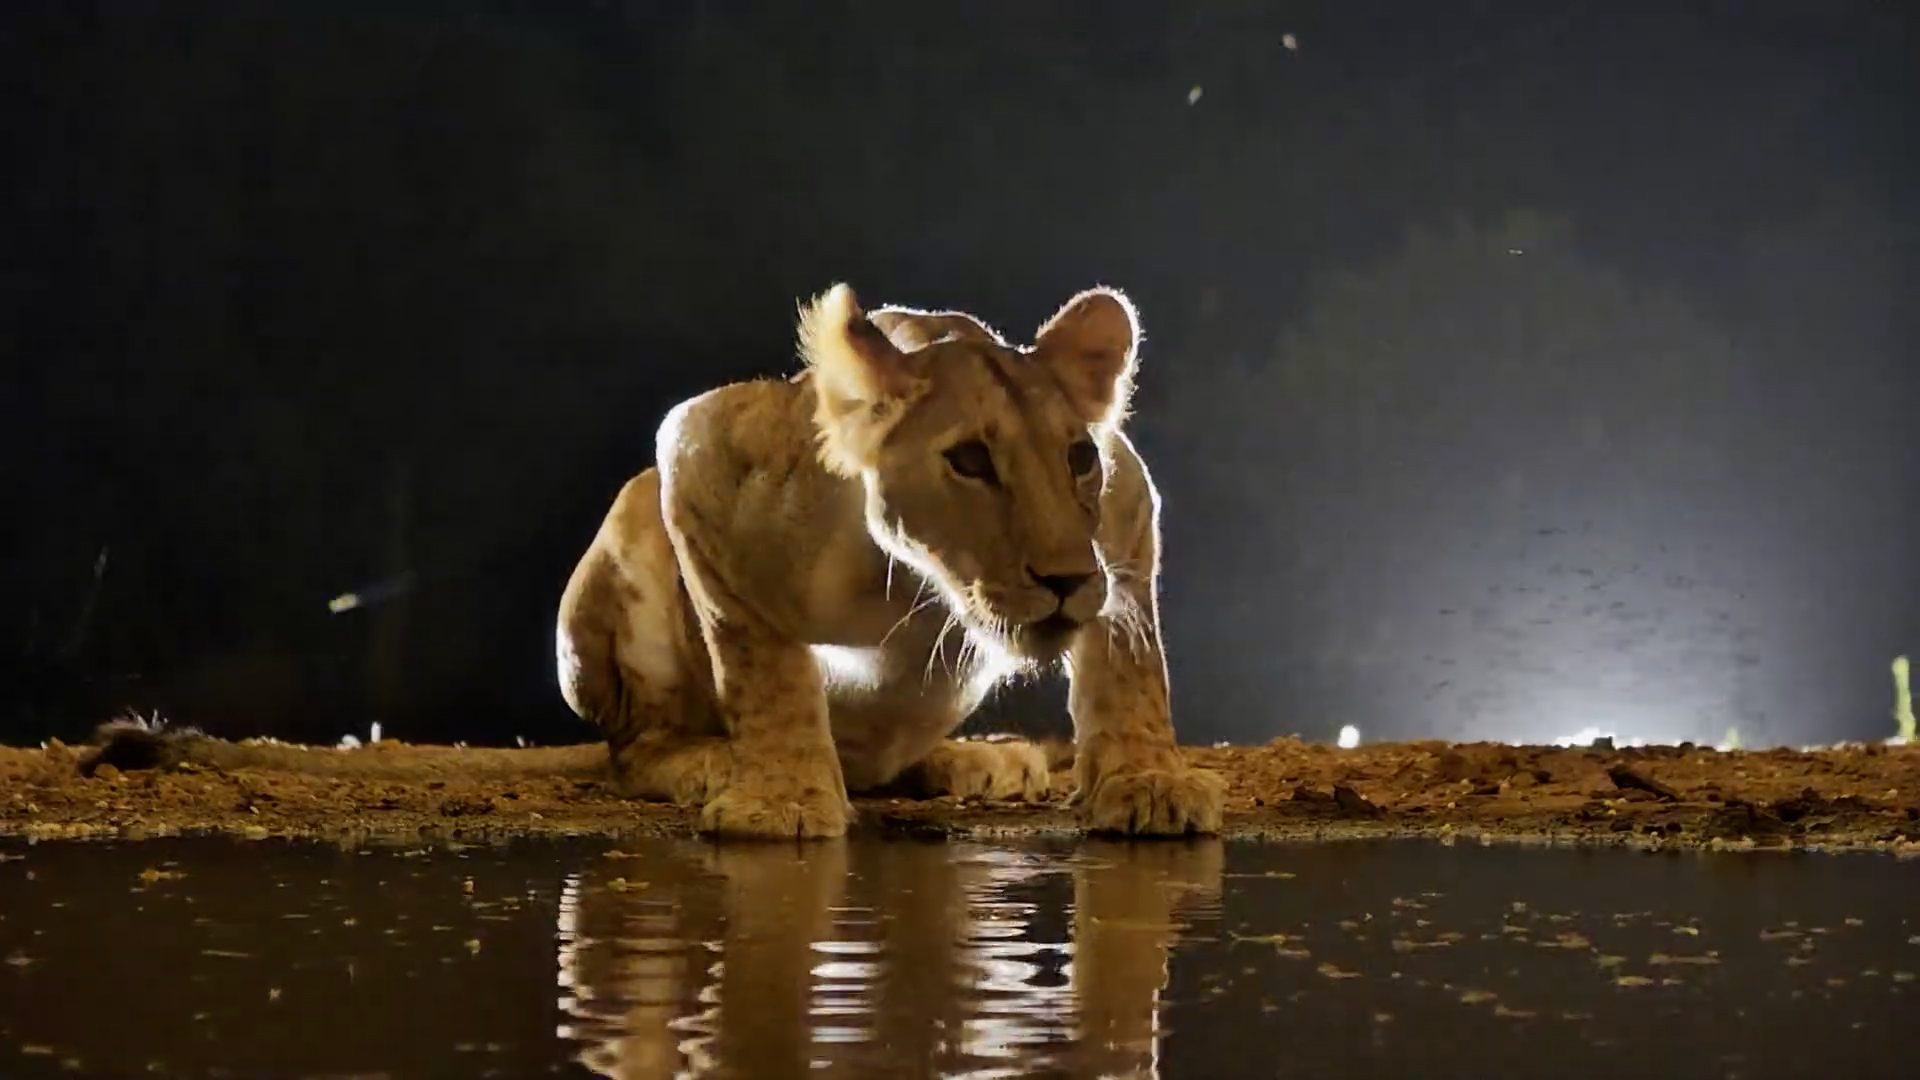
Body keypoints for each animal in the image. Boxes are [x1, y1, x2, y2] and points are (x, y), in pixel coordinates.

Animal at [553, 282, 1225, 839]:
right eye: (970, 460)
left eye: (1081, 458)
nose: (1067, 580)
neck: (922, 584)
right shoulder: (700, 451)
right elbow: (761, 665)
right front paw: (780, 798)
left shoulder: (1126, 509)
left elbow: (1130, 665)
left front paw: (1150, 782)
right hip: (628, 534)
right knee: (636, 747)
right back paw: (709, 762)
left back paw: (983, 758)